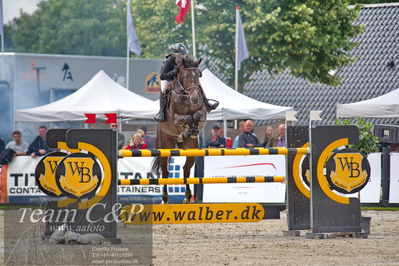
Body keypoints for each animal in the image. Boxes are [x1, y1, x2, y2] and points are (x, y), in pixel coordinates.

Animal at [152, 54, 208, 204]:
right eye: (185, 76)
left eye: (198, 76)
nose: (194, 98)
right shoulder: (175, 118)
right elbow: (188, 117)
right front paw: (188, 129)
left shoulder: (203, 113)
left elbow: (197, 115)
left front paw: (192, 130)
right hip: (165, 146)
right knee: (165, 171)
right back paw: (165, 199)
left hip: (191, 149)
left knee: (186, 170)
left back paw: (187, 197)